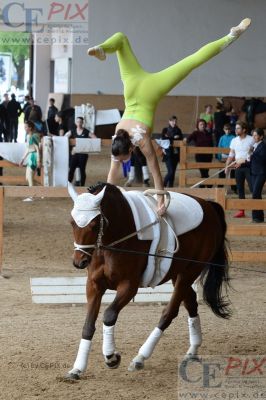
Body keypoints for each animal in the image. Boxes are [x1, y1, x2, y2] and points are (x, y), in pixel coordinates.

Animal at [65, 183, 231, 380]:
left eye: (95, 224)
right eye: (72, 222)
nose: (79, 261)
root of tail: (208, 206)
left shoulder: (129, 286)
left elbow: (109, 315)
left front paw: (111, 357)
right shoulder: (94, 286)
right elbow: (88, 325)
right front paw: (78, 368)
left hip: (189, 272)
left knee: (169, 312)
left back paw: (140, 357)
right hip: (177, 274)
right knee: (191, 302)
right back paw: (192, 350)